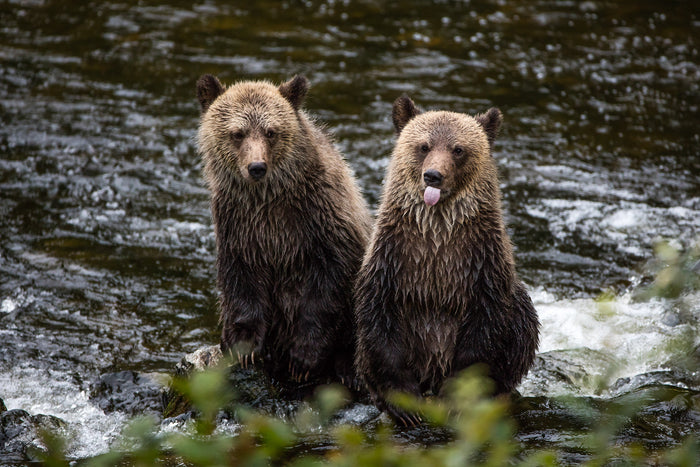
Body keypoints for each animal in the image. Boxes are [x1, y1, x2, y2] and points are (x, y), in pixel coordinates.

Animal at [196, 74, 372, 390]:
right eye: (237, 133)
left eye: (271, 131)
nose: (256, 167)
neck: (268, 200)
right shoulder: (238, 224)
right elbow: (241, 278)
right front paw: (243, 346)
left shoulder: (320, 220)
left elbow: (328, 284)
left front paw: (302, 359)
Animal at [354, 95, 539, 426]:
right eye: (424, 146)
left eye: (458, 149)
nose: (433, 176)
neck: (438, 236)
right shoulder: (392, 261)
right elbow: (380, 327)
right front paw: (404, 404)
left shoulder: (482, 265)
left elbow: (483, 334)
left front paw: (455, 399)